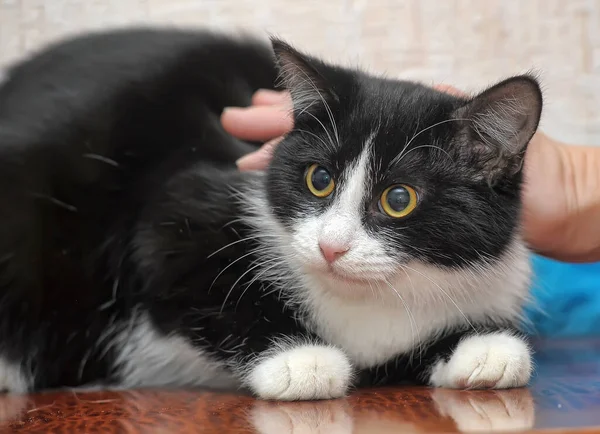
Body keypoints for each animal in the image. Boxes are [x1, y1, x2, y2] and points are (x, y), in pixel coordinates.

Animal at [0, 27, 540, 400]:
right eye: (319, 179)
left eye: (399, 199)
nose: (330, 246)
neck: (367, 301)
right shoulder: (181, 208)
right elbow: (199, 282)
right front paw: (301, 361)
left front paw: (485, 347)